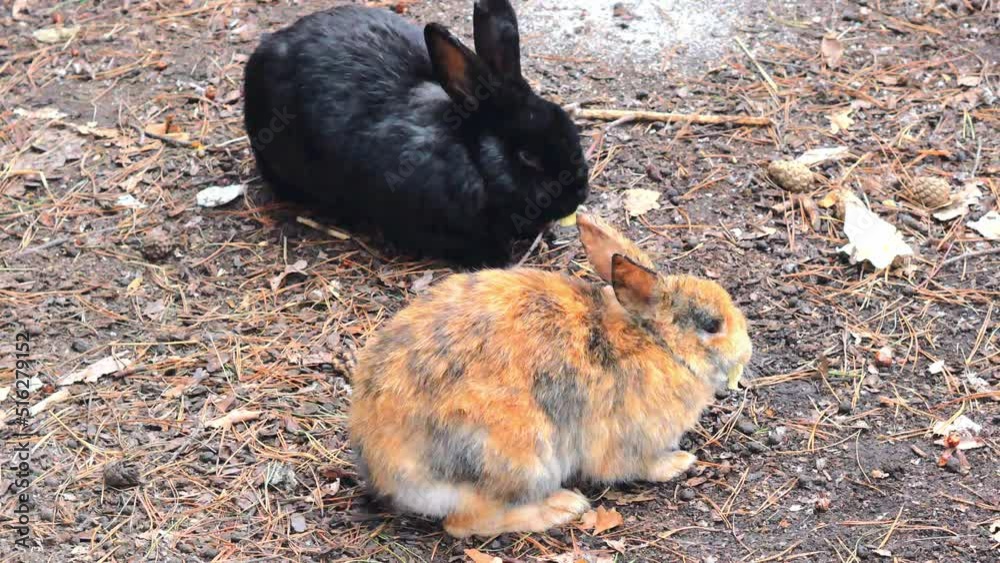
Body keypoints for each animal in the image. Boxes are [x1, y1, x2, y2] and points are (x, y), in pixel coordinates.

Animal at [348, 213, 753, 537]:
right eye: (712, 325)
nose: (746, 350)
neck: (656, 341)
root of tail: (385, 469)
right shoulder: (630, 440)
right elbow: (637, 465)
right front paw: (679, 462)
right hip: (518, 459)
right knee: (466, 524)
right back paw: (561, 508)